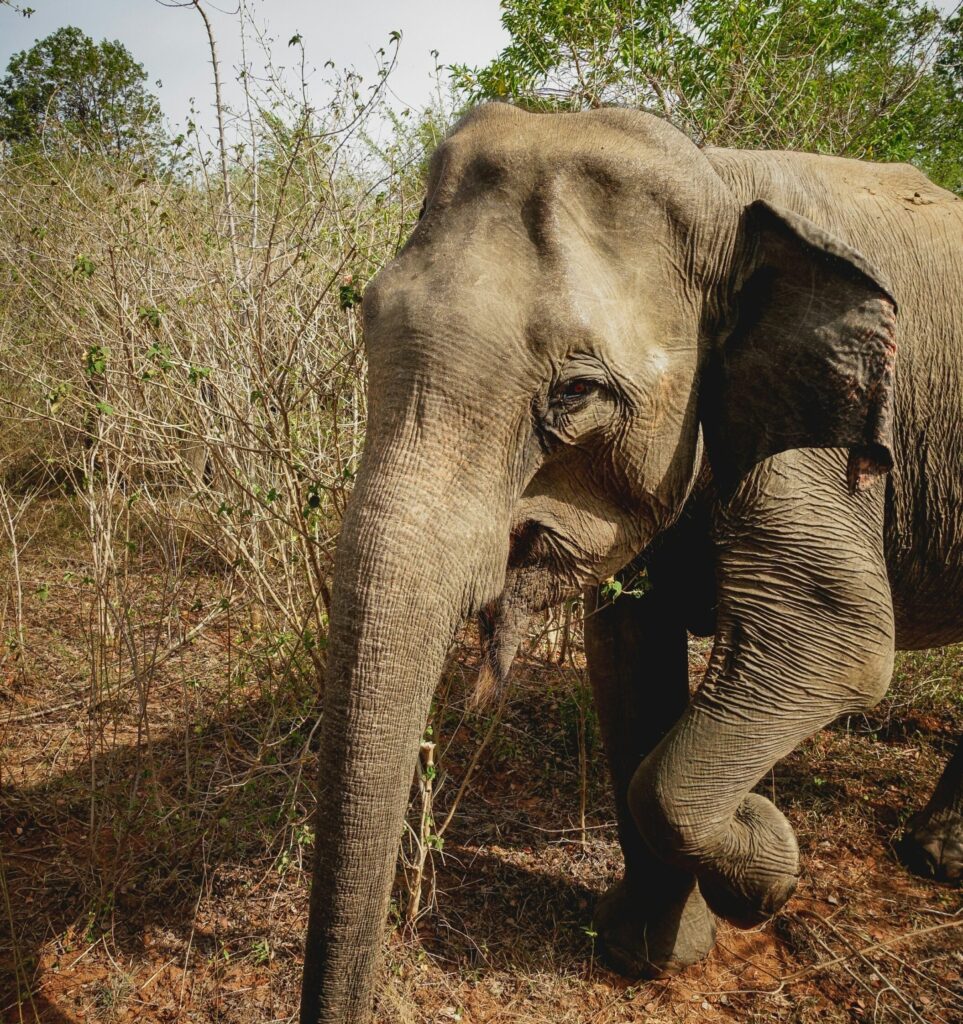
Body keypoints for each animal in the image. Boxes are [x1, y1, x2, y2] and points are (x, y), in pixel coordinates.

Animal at [297, 97, 958, 1024]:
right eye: (367, 324)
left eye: (576, 392)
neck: (717, 180)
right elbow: (625, 657)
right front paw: (645, 953)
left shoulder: (821, 451)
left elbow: (836, 644)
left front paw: (766, 858)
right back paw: (932, 858)